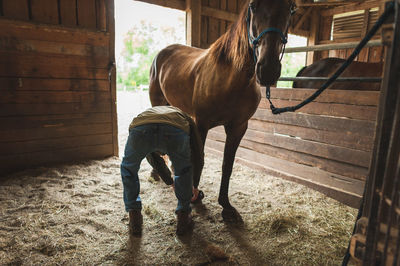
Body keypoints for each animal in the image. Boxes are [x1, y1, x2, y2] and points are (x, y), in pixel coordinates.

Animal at [148, 0, 296, 220]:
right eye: (253, 6)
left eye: (291, 8)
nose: (267, 69)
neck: (231, 78)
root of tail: (162, 53)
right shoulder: (201, 124)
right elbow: (199, 160)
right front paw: (193, 198)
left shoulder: (238, 127)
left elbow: (227, 165)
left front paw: (226, 205)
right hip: (158, 105)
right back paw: (158, 173)